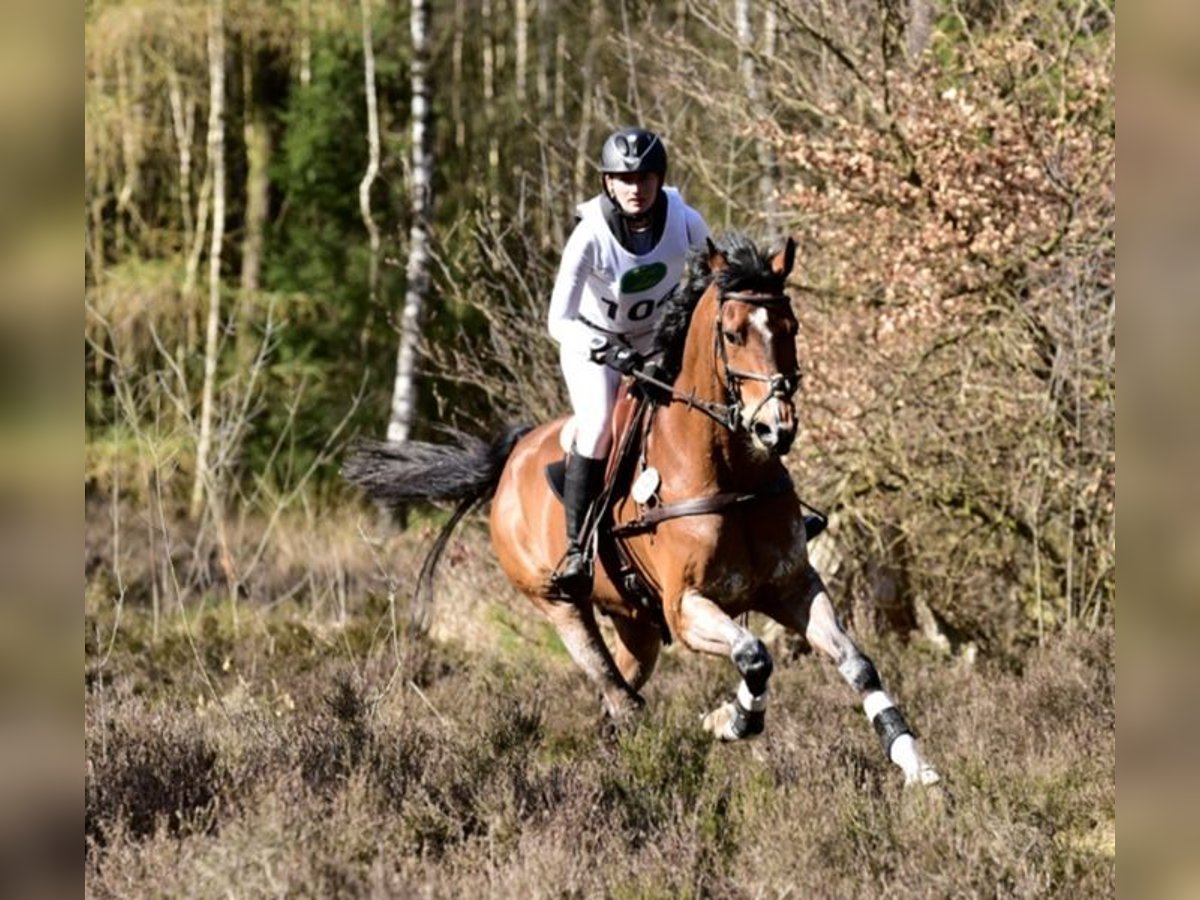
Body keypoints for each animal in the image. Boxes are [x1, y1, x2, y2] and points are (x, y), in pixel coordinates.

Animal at [343, 234, 940, 787]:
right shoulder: (687, 606)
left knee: (618, 696)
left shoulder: (792, 586)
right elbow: (753, 656)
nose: (776, 428)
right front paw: (729, 720)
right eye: (733, 333)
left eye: (790, 326)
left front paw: (913, 763)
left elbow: (857, 663)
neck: (728, 470)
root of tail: (510, 455)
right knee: (618, 695)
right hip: (561, 606)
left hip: (637, 624)